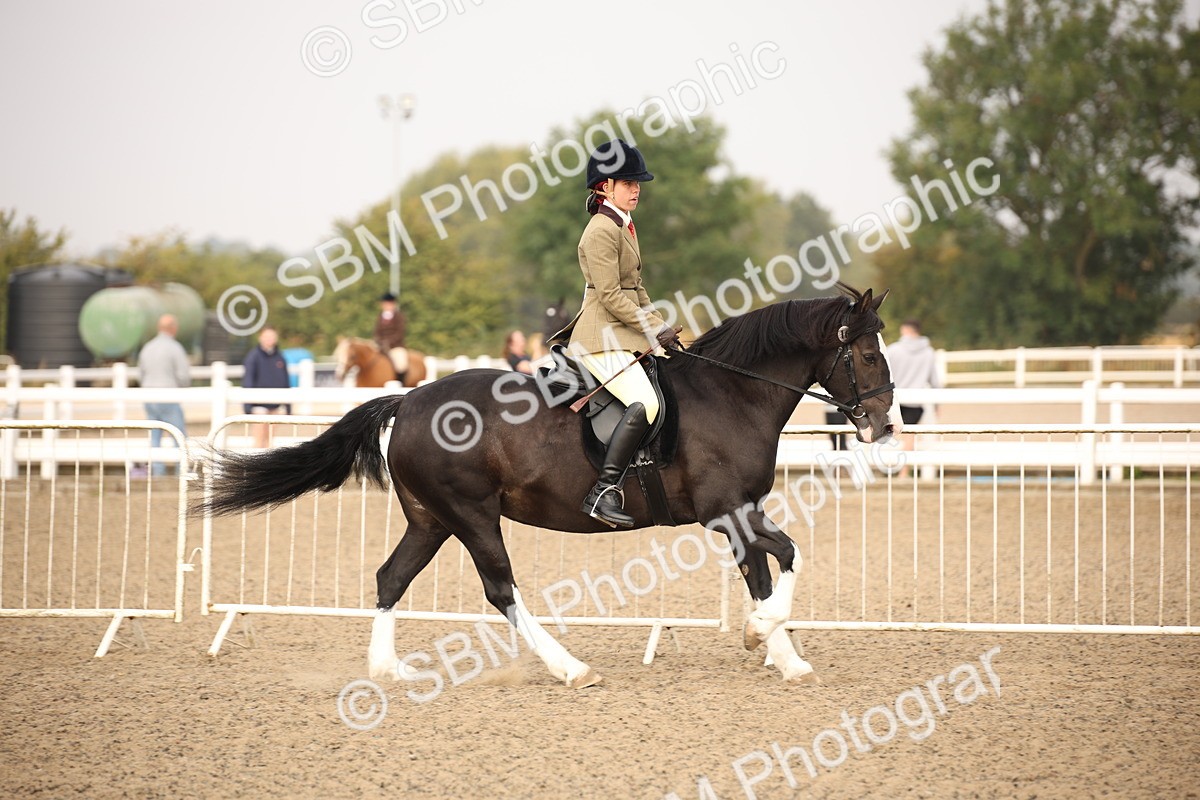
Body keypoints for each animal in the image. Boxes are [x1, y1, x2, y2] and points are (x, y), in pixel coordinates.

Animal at [198, 285, 898, 689]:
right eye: (866, 355)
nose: (883, 424)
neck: (732, 393)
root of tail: (411, 397)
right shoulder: (726, 510)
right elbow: (782, 562)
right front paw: (761, 637)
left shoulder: (742, 510)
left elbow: (768, 570)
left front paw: (782, 655)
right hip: (472, 515)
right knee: (500, 588)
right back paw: (570, 668)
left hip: (432, 519)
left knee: (391, 578)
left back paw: (385, 668)